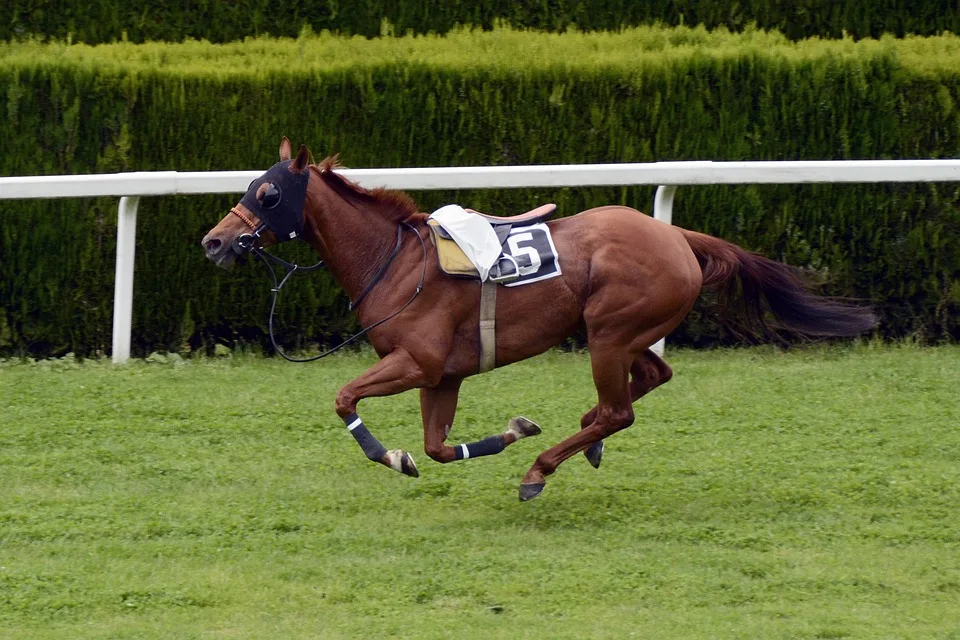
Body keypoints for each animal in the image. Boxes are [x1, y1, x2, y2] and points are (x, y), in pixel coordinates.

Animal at [201, 139, 876, 500]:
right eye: (252, 184)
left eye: (267, 193)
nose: (214, 242)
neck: (396, 261)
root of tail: (676, 234)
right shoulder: (443, 374)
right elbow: (437, 447)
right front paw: (508, 431)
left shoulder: (415, 360)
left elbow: (345, 398)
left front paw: (390, 455)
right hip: (622, 332)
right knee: (650, 380)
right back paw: (583, 440)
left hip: (610, 332)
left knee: (620, 409)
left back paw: (541, 470)